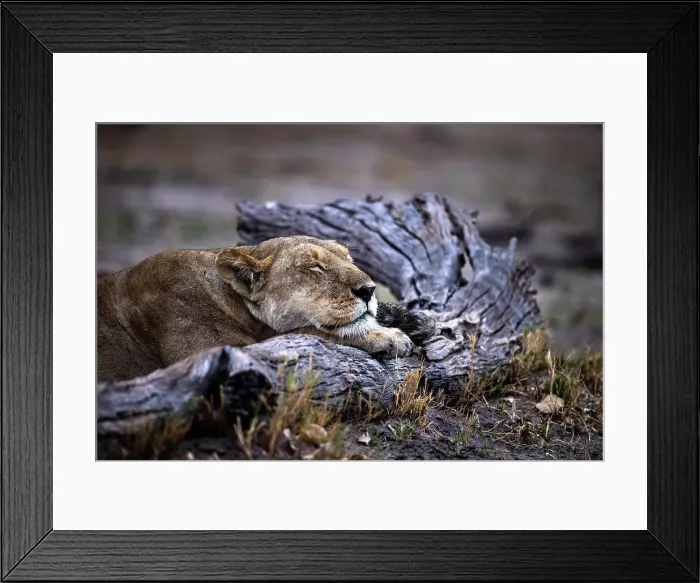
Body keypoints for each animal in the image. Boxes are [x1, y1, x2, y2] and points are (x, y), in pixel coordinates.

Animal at [97, 235, 433, 382]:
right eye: (314, 267)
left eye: (348, 258)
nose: (368, 289)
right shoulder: (208, 355)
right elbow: (312, 330)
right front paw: (387, 336)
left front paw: (414, 320)